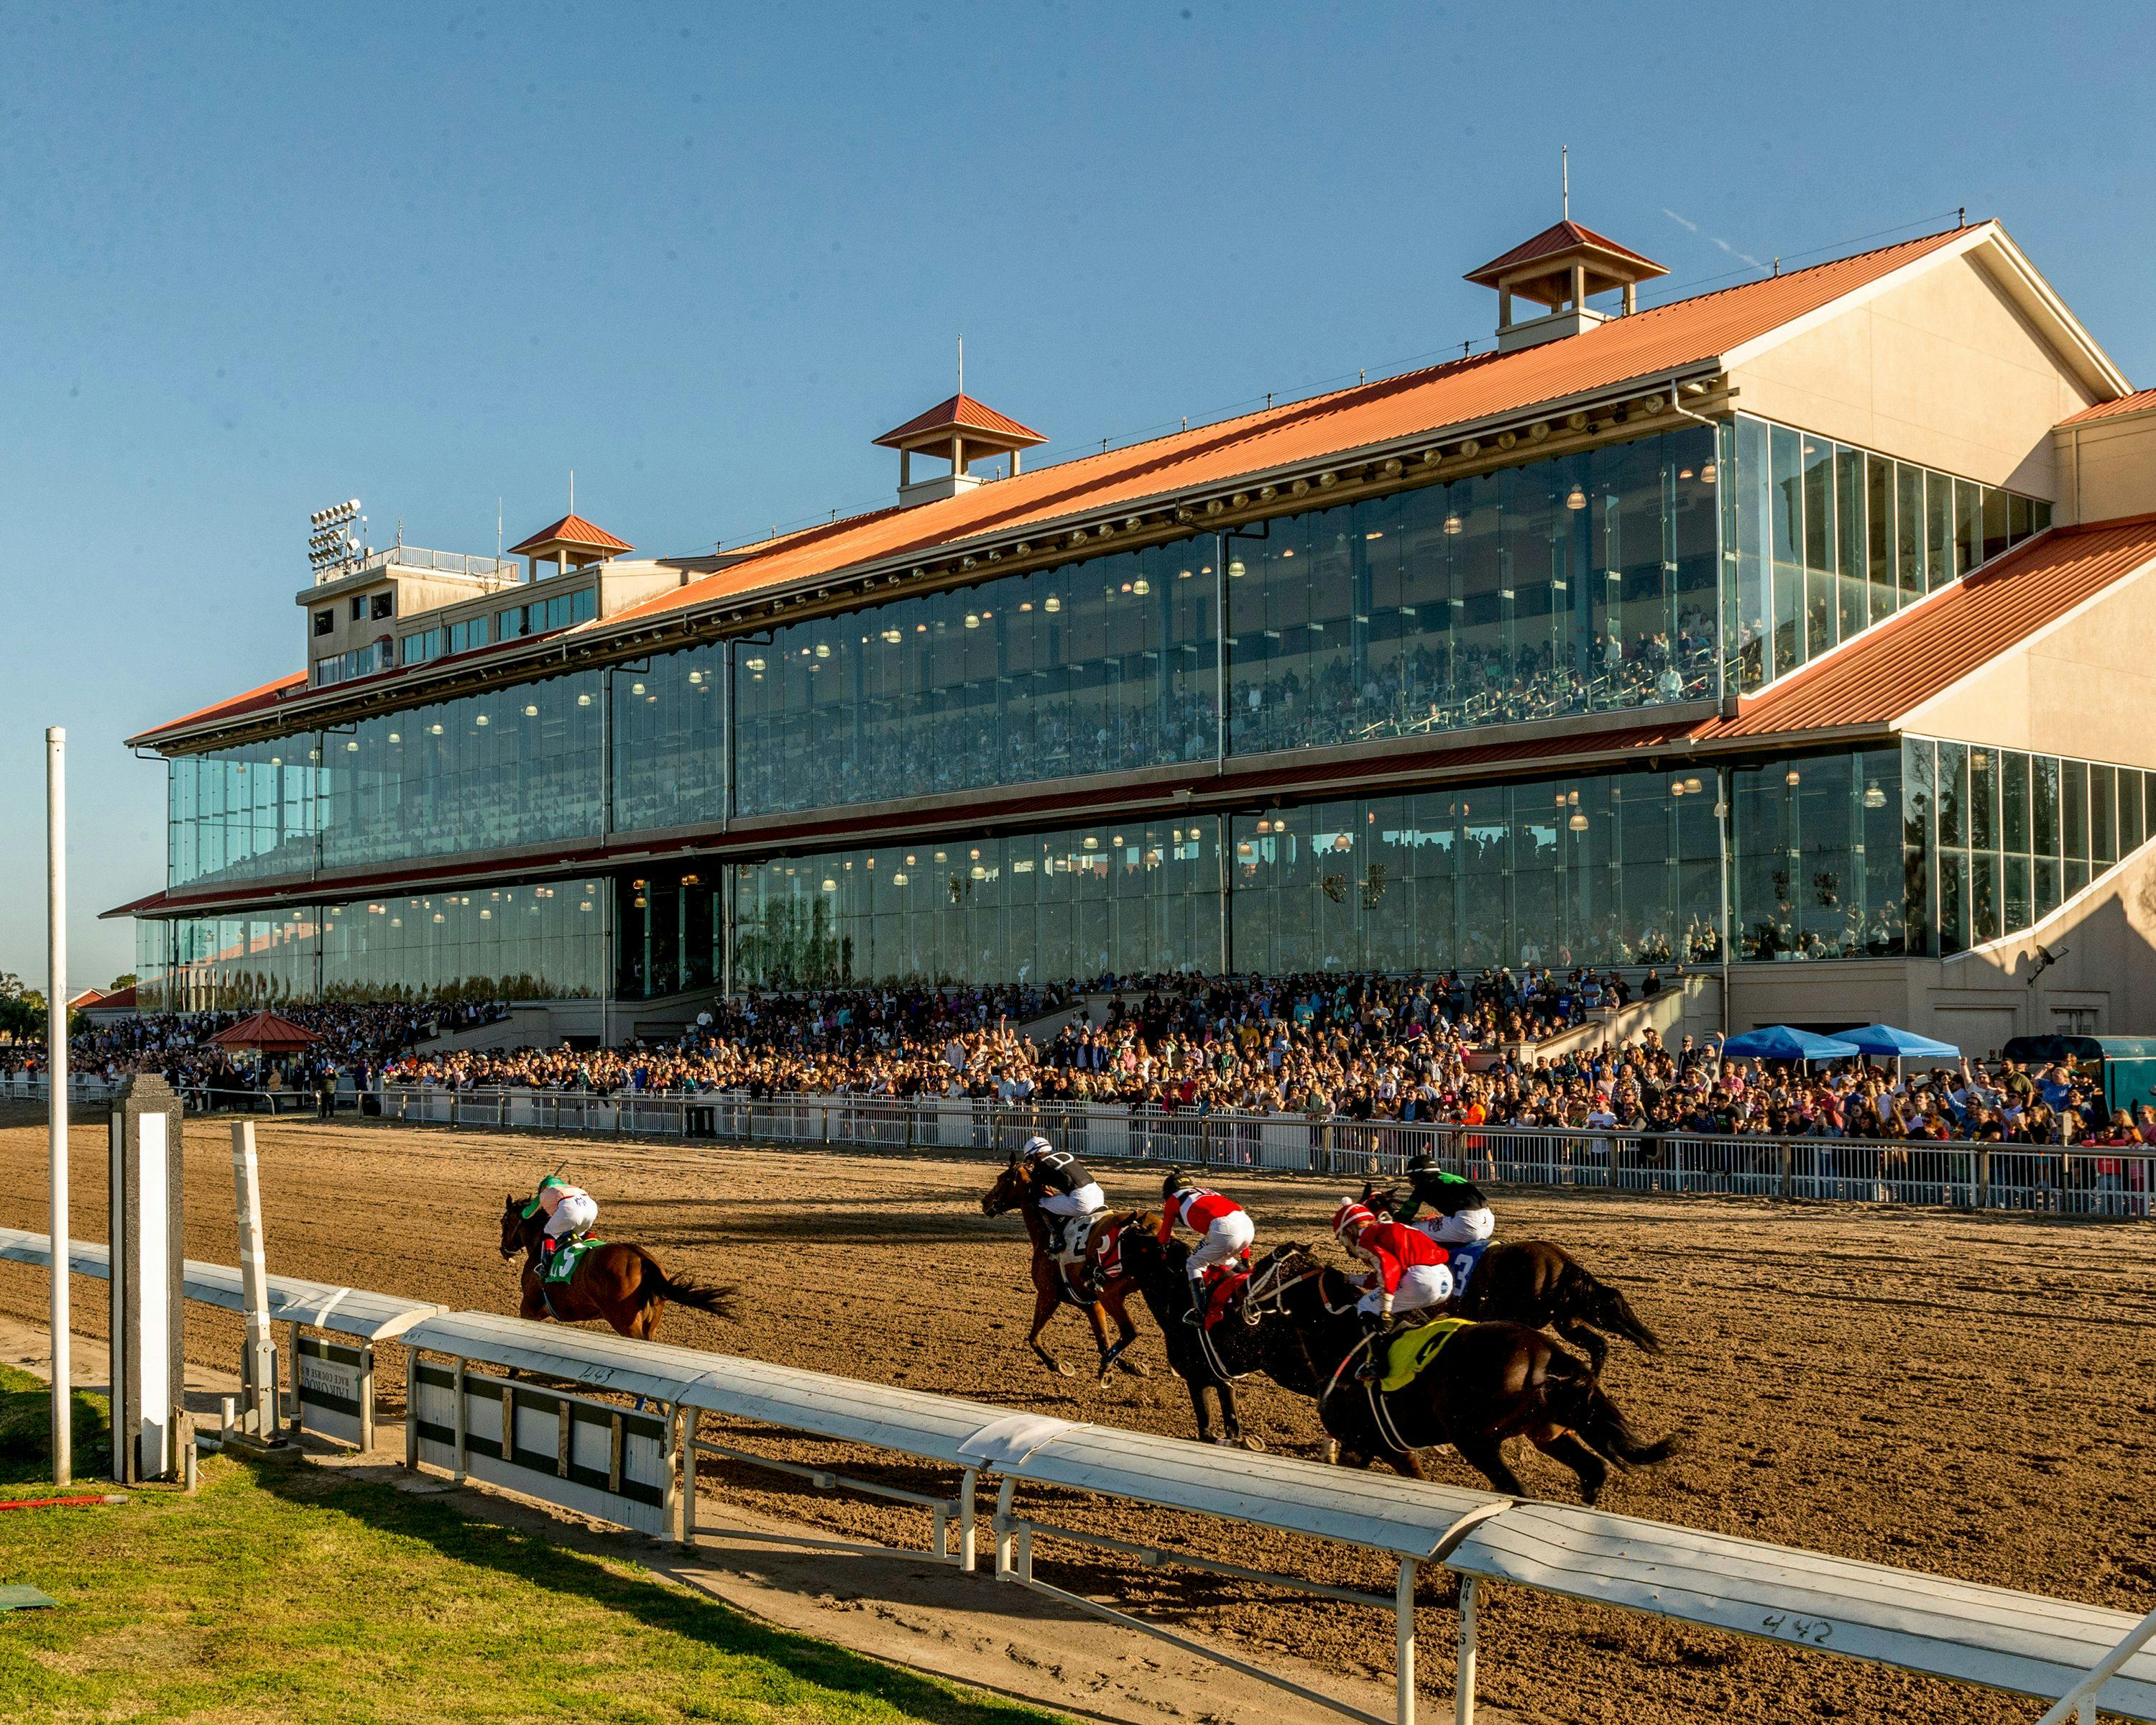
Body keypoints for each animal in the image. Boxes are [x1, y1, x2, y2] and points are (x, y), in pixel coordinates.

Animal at [494, 1190, 733, 1337]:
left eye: (504, 1221)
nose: (505, 1249)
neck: (539, 1243)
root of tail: (644, 1259)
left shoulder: (529, 1308)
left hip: (625, 1322)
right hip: (651, 1322)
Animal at [979, 1156, 1147, 1380]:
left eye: (1001, 1178)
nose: (985, 1202)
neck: (1046, 1234)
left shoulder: (1048, 1294)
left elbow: (1033, 1337)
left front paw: (1057, 1364)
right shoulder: (1092, 1304)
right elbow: (1104, 1344)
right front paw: (1125, 1365)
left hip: (1110, 1293)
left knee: (1130, 1329)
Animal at [1242, 1251, 1673, 1501]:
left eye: (1262, 1268)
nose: (1241, 1290)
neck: (1342, 1342)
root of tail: (1544, 1355)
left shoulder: (1368, 1444)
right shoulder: (1380, 1447)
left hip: (1476, 1438)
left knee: (1519, 1488)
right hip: (1549, 1430)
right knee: (1594, 1470)